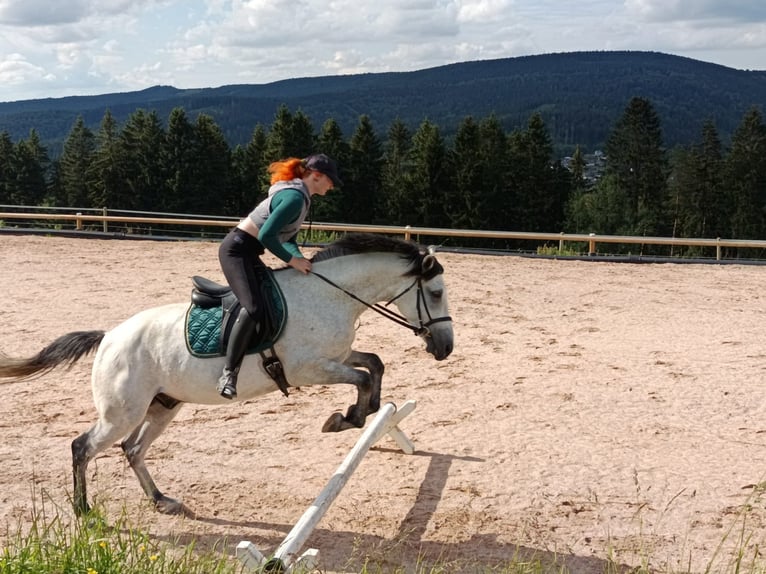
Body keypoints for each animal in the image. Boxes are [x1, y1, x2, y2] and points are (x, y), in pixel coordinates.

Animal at [0, 233, 452, 516]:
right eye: (435, 293)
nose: (445, 348)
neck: (330, 294)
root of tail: (109, 336)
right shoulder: (308, 369)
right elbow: (362, 378)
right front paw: (345, 418)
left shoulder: (337, 357)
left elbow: (373, 364)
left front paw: (361, 414)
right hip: (121, 413)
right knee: (84, 447)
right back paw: (83, 510)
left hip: (163, 406)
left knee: (133, 450)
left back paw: (161, 500)